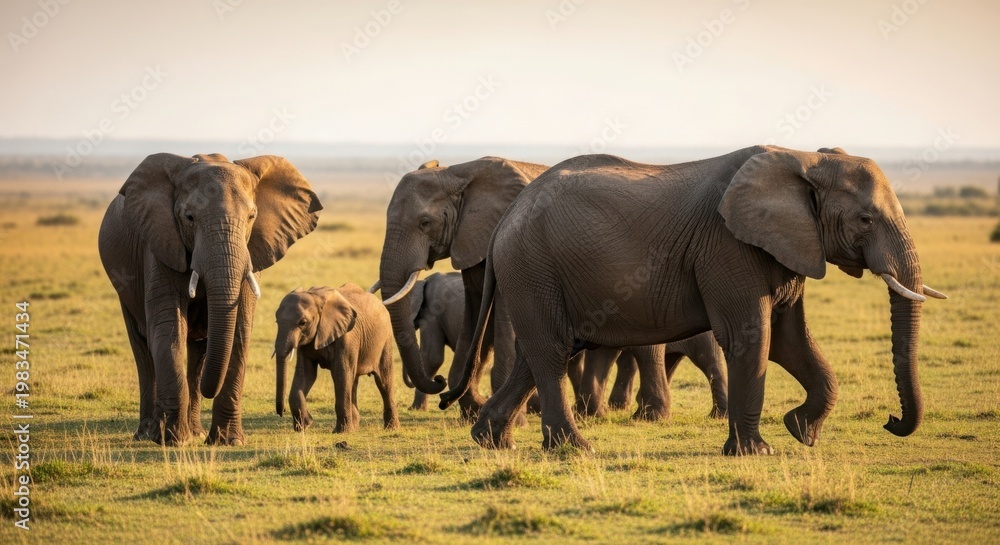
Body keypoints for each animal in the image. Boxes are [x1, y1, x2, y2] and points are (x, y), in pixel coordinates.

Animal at [99, 153, 322, 445]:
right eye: (189, 217)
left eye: (252, 216)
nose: (282, 414)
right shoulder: (159, 244)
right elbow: (169, 329)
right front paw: (175, 441)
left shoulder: (253, 250)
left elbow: (239, 330)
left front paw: (228, 441)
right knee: (144, 347)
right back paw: (150, 434)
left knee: (199, 353)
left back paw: (195, 432)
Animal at [274, 284, 398, 433]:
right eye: (276, 321)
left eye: (302, 323)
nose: (282, 412)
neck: (315, 297)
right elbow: (306, 374)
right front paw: (305, 426)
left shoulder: (347, 337)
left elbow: (340, 374)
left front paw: (341, 432)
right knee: (353, 380)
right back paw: (355, 426)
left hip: (385, 339)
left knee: (384, 381)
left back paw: (391, 428)